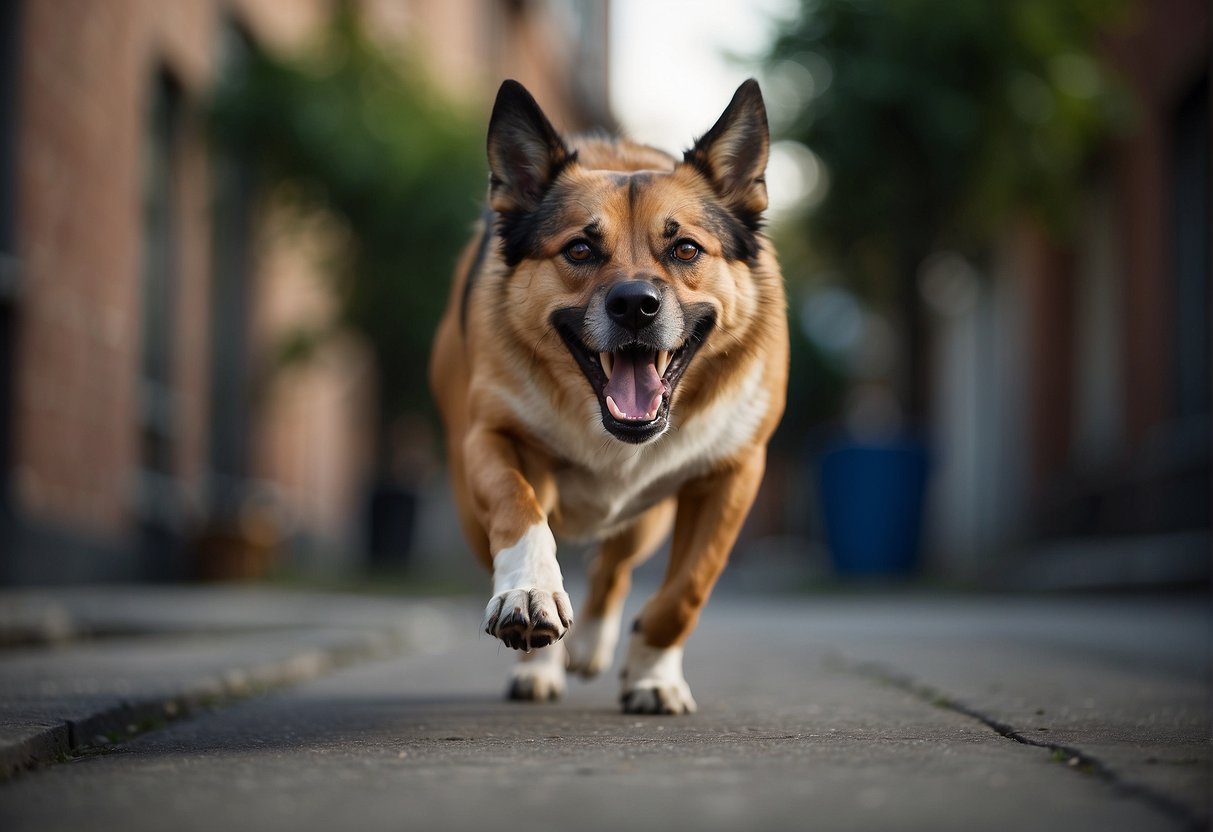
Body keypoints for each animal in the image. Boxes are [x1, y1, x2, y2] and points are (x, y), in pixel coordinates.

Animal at [431, 80, 790, 717]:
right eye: (579, 250)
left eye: (686, 250)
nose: (635, 305)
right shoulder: (492, 439)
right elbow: (518, 508)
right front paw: (530, 593)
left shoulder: (734, 473)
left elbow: (687, 589)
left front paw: (653, 677)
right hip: (474, 511)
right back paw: (541, 664)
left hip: (647, 516)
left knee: (614, 564)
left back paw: (593, 645)